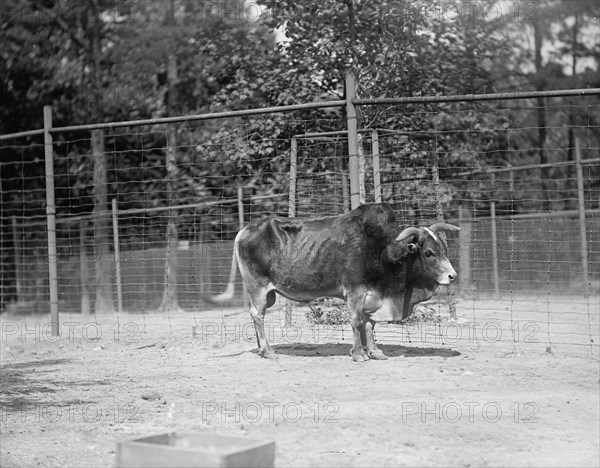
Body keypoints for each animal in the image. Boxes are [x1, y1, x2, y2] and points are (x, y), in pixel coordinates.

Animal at [211, 203, 460, 360]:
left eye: (444, 249)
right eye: (428, 252)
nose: (452, 276)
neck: (383, 251)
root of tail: (245, 229)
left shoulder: (373, 296)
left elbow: (370, 324)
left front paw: (375, 352)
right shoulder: (355, 292)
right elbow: (356, 322)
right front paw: (358, 354)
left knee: (255, 314)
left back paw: (261, 349)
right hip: (259, 288)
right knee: (257, 314)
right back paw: (268, 350)